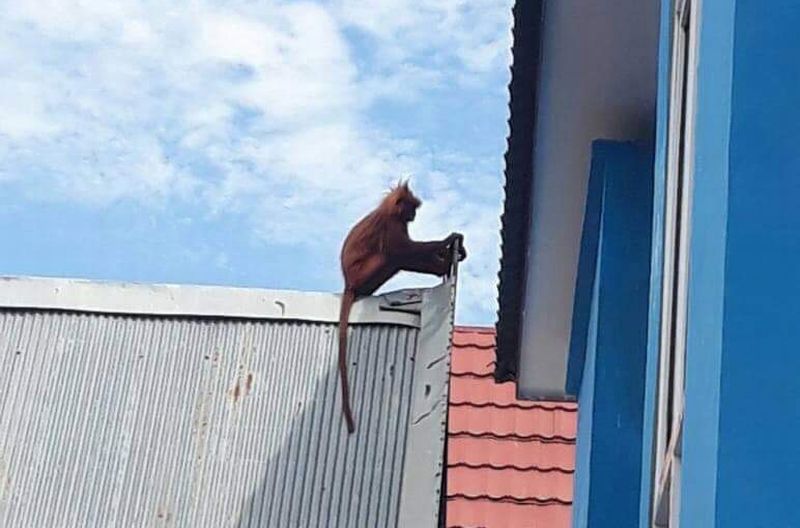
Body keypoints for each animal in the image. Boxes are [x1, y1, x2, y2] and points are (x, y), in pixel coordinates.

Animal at [340, 182, 468, 434]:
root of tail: (349, 283)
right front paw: (447, 243)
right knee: (394, 256)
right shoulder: (393, 224)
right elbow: (405, 250)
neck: (390, 211)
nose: (414, 215)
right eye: (412, 209)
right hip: (366, 272)